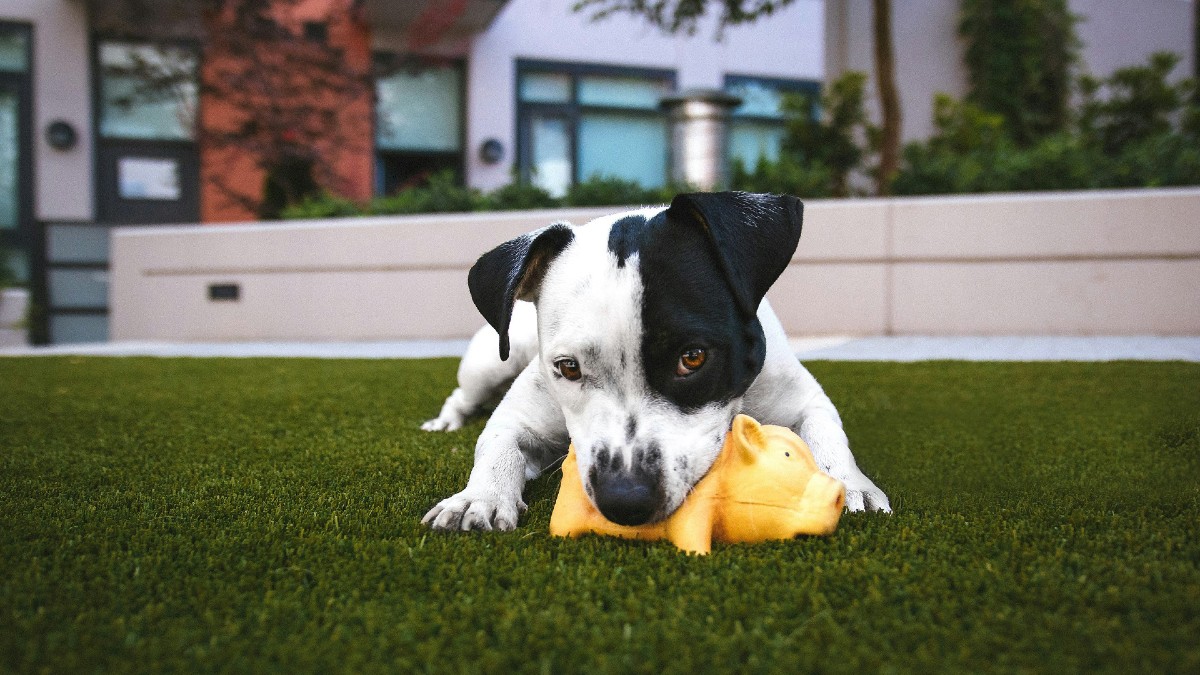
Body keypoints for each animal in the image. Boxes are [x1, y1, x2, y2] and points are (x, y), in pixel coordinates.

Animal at [422, 190, 892, 530]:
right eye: (568, 367)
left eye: (693, 358)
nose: (625, 499)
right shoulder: (519, 417)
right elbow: (498, 446)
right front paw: (478, 497)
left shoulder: (804, 399)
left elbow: (826, 434)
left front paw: (848, 483)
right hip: (491, 362)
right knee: (461, 396)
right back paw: (445, 422)